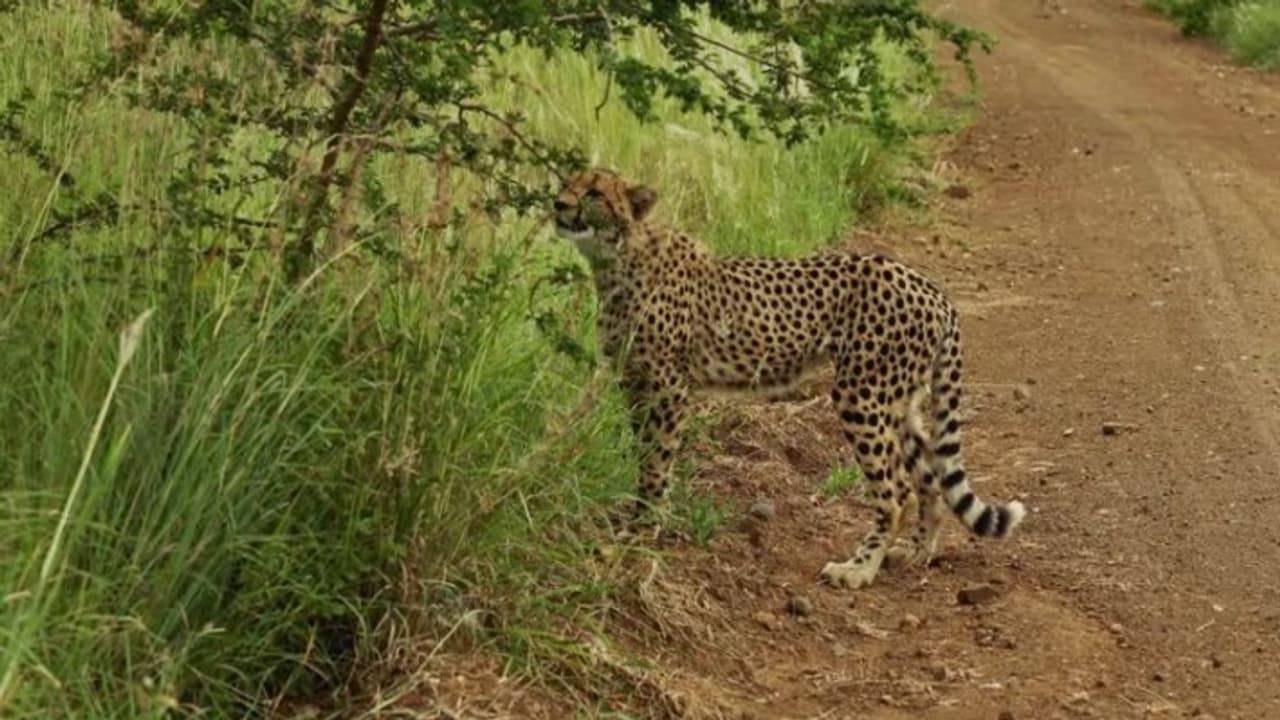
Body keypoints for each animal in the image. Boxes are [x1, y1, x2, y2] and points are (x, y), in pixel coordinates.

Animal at [552, 167, 1026, 590]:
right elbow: (643, 456)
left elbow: (655, 462)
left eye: (594, 193)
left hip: (862, 395)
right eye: (567, 182)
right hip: (898, 401)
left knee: (896, 491)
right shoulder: (632, 383)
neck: (616, 258)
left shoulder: (667, 387)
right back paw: (916, 552)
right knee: (927, 476)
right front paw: (637, 520)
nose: (557, 204)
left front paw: (641, 531)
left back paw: (859, 570)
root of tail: (931, 288)